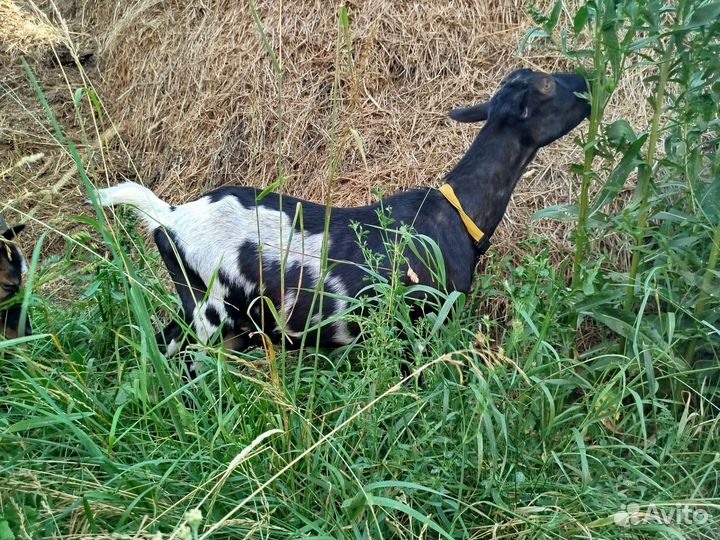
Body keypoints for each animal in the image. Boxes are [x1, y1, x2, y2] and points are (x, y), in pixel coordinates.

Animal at [95, 68, 590, 357]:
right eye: (546, 87)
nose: (584, 78)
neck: (457, 211)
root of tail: (169, 217)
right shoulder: (425, 323)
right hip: (208, 312)